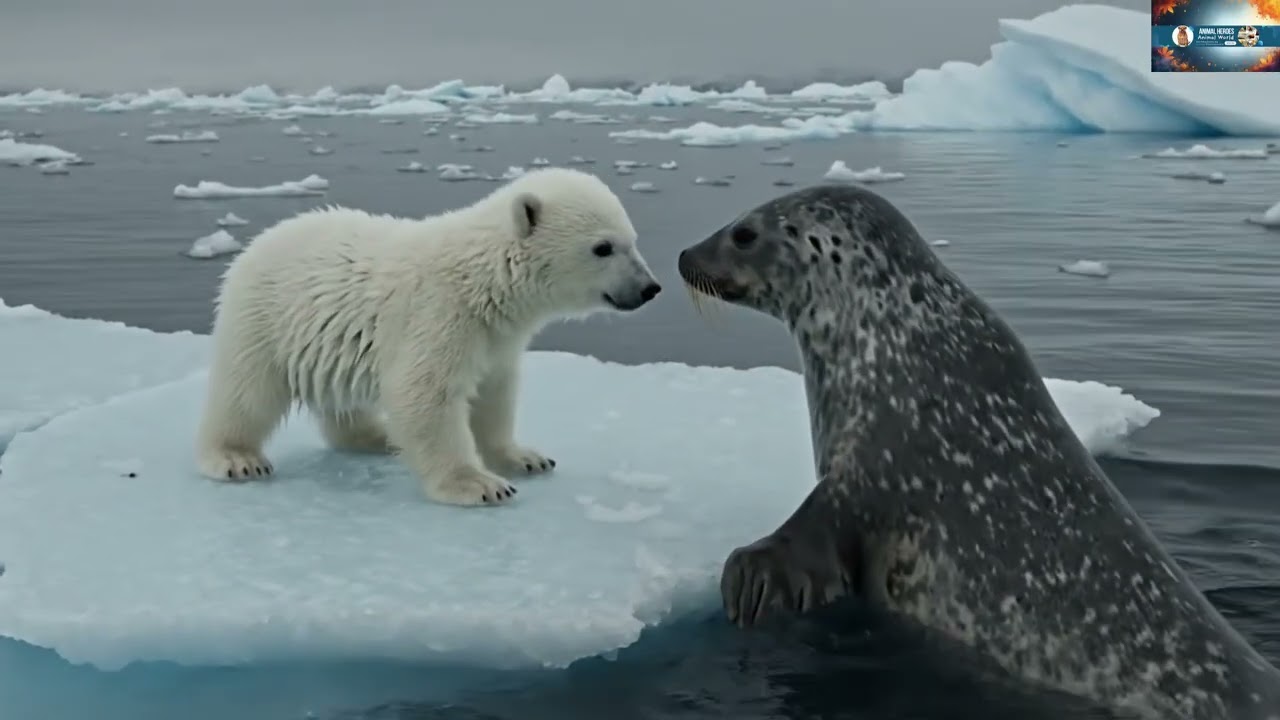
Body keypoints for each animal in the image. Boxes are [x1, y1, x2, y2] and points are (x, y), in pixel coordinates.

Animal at [193, 167, 661, 506]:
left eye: (633, 239)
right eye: (603, 247)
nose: (650, 288)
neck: (484, 280)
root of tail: (258, 242)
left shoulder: (496, 338)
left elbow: (494, 394)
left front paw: (525, 458)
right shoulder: (439, 315)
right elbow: (424, 394)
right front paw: (480, 485)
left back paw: (377, 436)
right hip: (263, 318)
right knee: (246, 392)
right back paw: (237, 458)